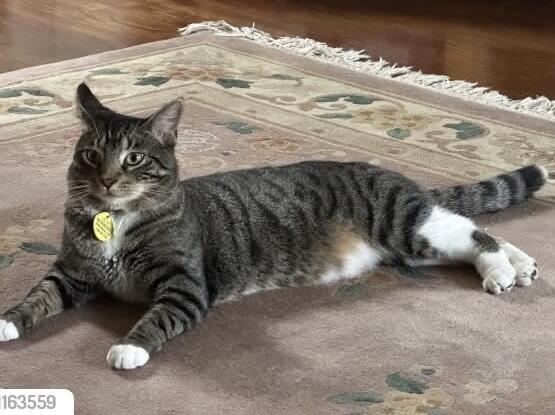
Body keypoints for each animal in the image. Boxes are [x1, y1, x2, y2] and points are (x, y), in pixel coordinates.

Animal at [0, 83, 548, 370]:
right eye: (91, 155)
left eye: (134, 158)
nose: (109, 179)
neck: (114, 222)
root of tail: (395, 177)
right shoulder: (72, 272)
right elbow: (40, 295)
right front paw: (8, 319)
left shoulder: (185, 287)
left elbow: (157, 318)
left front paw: (129, 348)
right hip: (414, 243)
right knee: (471, 226)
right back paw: (521, 265)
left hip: (403, 223)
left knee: (474, 233)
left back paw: (502, 271)